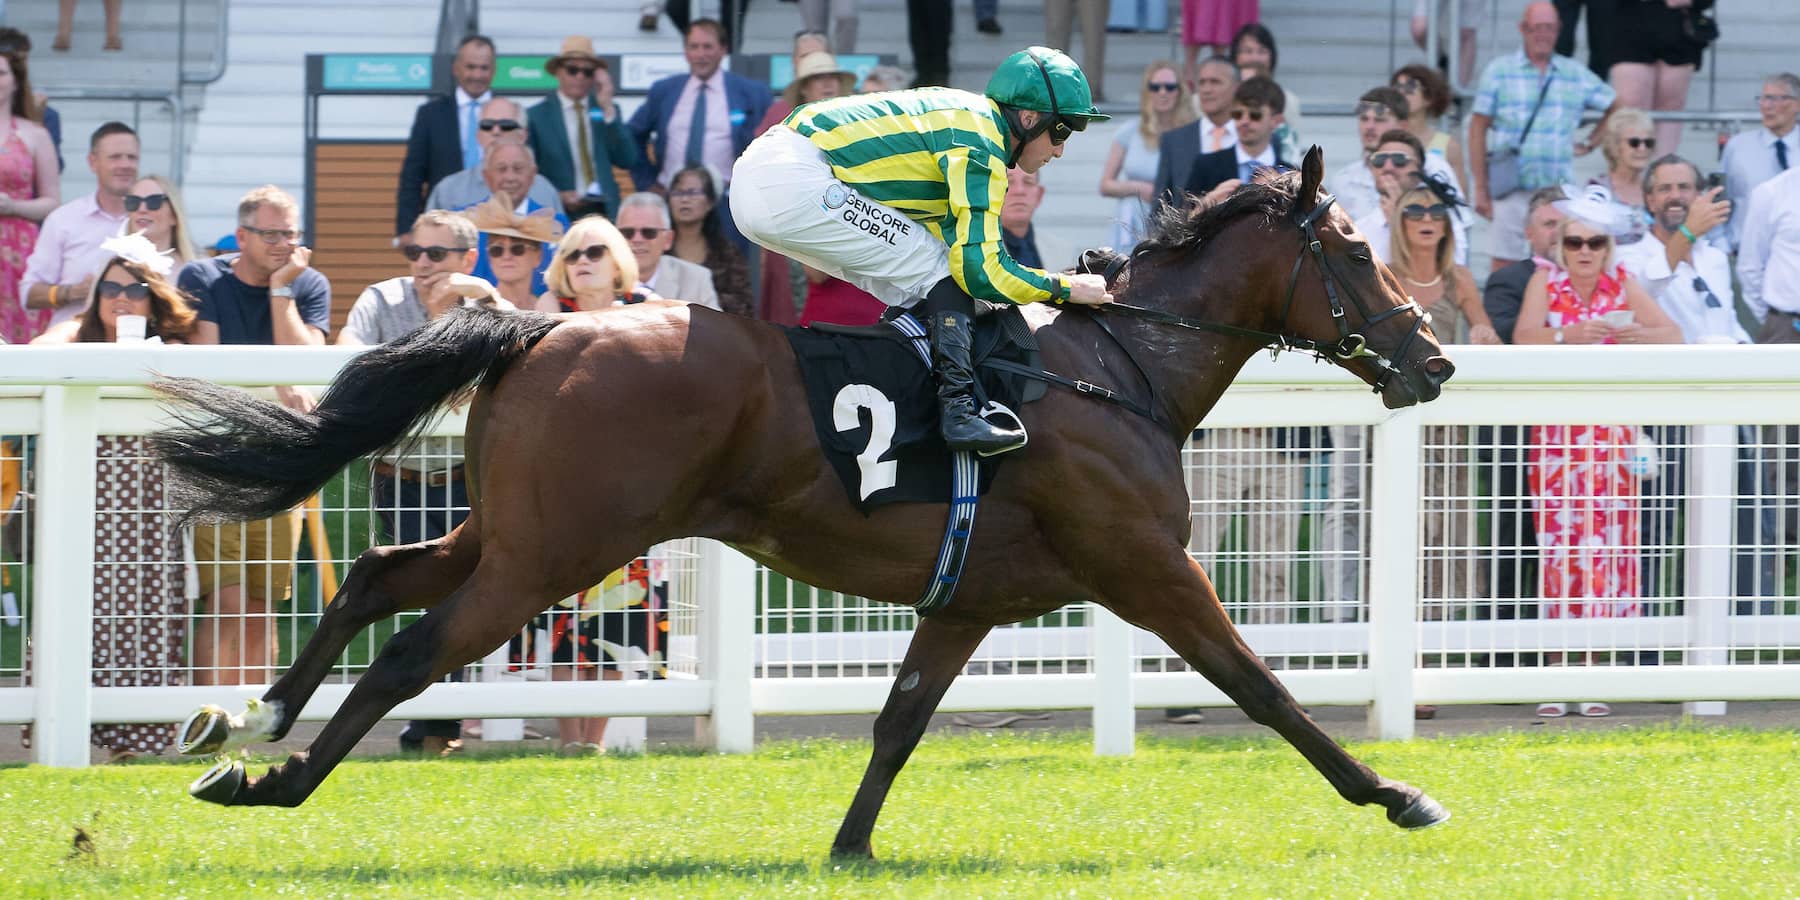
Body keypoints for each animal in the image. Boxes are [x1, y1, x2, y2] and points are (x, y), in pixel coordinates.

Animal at [152, 148, 1454, 857]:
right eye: (1353, 246)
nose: (1433, 357)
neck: (1115, 368)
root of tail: (546, 325)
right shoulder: (1147, 567)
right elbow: (1263, 687)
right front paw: (1396, 793)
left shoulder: (969, 598)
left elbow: (899, 722)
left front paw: (848, 844)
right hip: (556, 552)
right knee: (415, 649)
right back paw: (277, 778)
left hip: (521, 532)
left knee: (380, 578)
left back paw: (248, 721)